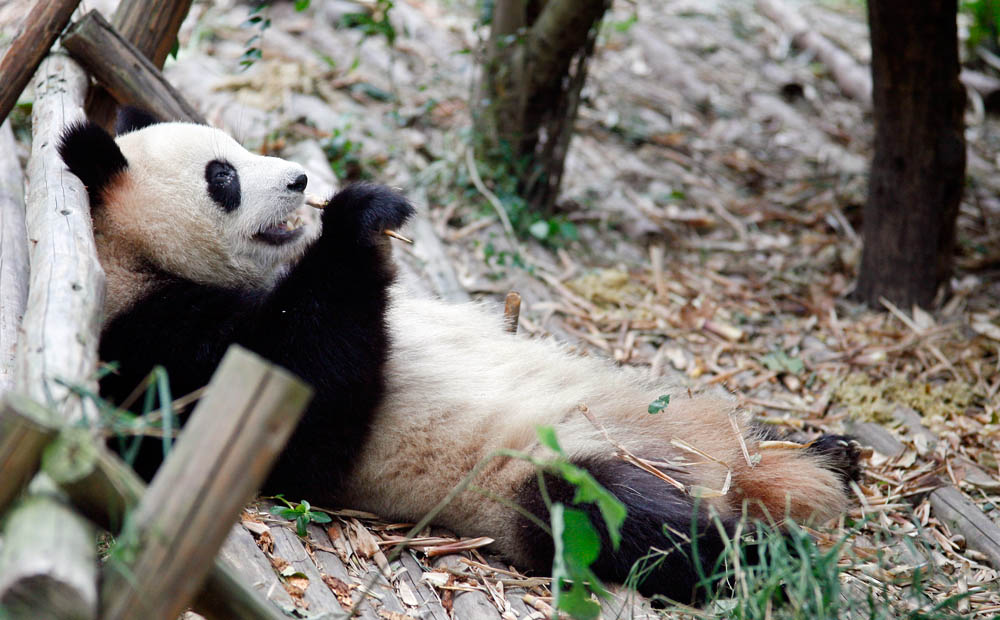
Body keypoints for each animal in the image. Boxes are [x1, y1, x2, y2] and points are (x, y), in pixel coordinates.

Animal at [60, 109, 860, 604]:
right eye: (221, 175)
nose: (297, 179)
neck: (136, 260)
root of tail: (720, 474)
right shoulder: (155, 345)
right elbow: (306, 410)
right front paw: (359, 219)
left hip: (684, 431)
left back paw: (829, 454)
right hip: (538, 472)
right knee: (630, 521)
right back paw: (782, 555)